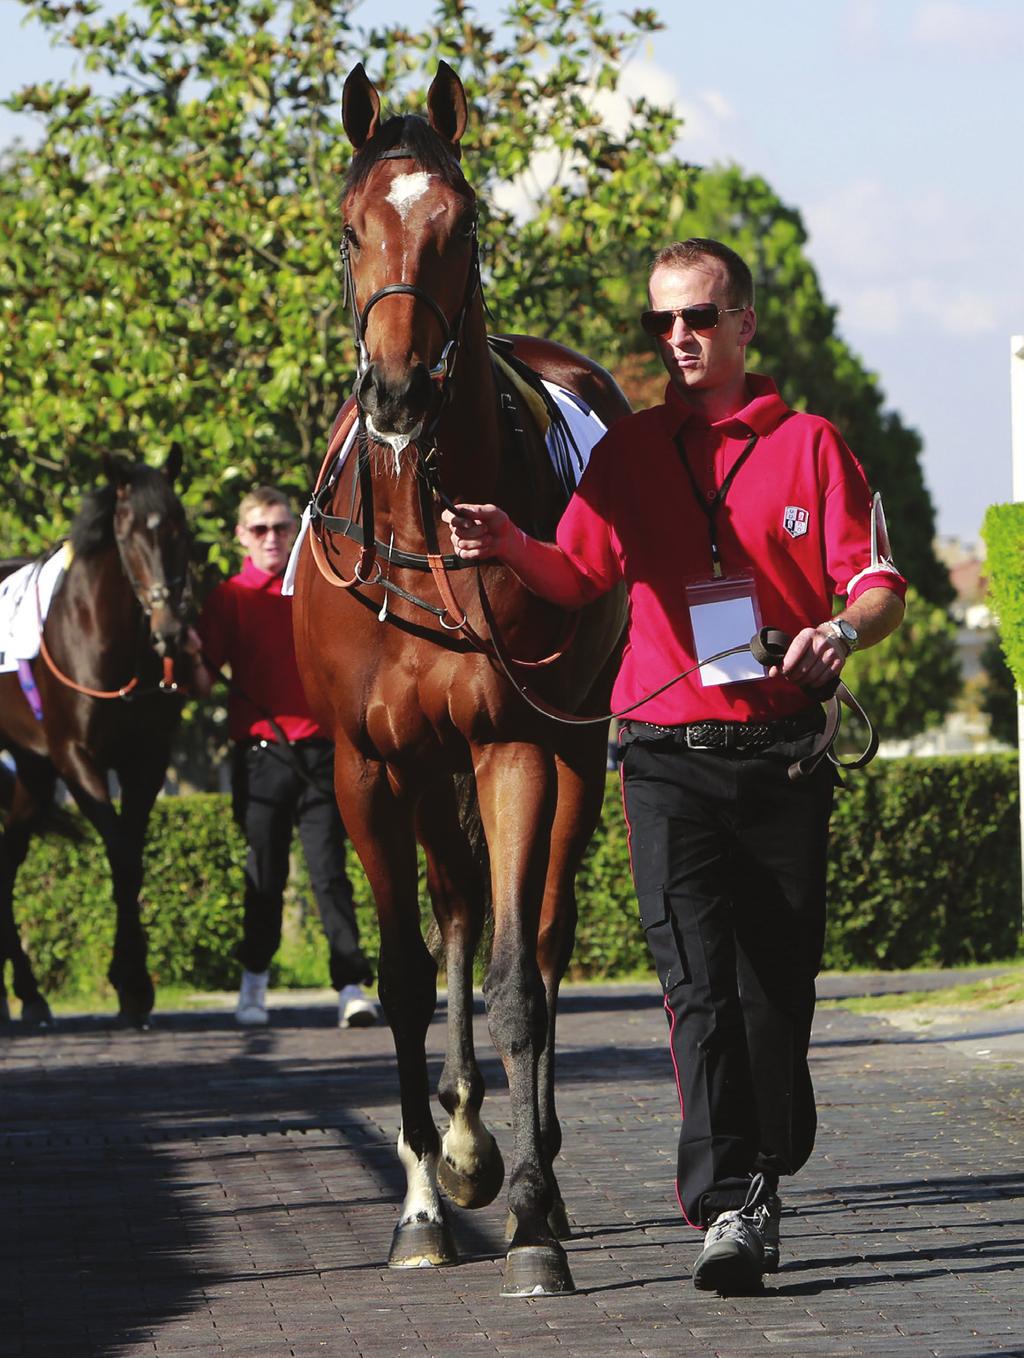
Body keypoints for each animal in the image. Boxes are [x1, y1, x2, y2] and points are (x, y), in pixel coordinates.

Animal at [0, 450, 191, 1021]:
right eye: (126, 534)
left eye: (180, 526)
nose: (170, 629)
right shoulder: (76, 757)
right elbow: (122, 854)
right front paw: (131, 981)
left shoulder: (146, 760)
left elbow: (132, 856)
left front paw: (132, 981)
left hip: (33, 772)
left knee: (7, 861)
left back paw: (30, 992)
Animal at [290, 63, 627, 1292]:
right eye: (351, 228)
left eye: (462, 222)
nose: (396, 392)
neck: (418, 529)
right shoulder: (366, 762)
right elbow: (399, 972)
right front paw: (427, 1203)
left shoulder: (513, 745)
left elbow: (520, 978)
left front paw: (530, 1220)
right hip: (423, 772)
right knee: (456, 911)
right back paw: (466, 1136)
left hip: (572, 745)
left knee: (539, 933)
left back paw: (532, 1165)